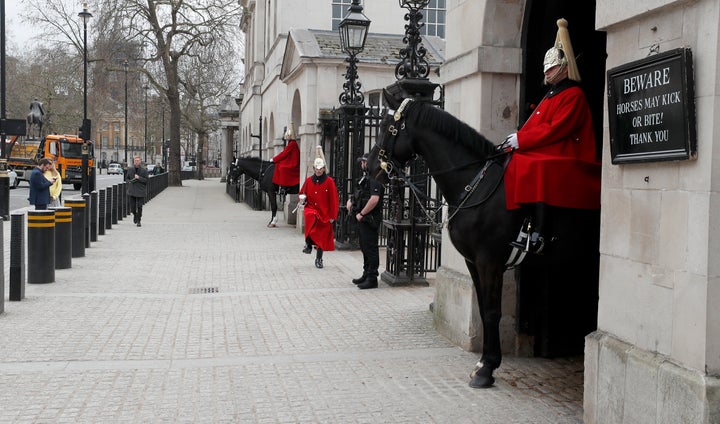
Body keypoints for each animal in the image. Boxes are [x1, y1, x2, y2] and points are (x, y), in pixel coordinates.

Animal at [368, 94, 600, 390]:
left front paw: (486, 369)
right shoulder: (473, 261)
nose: (368, 166)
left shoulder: (489, 261)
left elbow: (491, 311)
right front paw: (485, 361)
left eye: (388, 128)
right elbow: (482, 306)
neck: (476, 183)